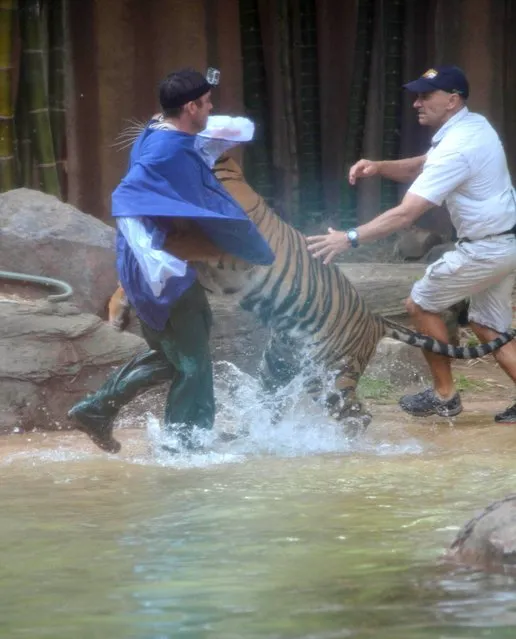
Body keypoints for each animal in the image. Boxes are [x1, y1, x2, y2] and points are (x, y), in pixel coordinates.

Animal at [108, 155, 512, 436]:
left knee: (358, 415)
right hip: (279, 363)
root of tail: (374, 319)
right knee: (271, 404)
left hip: (332, 377)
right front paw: (119, 309)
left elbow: (167, 248)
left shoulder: (224, 252)